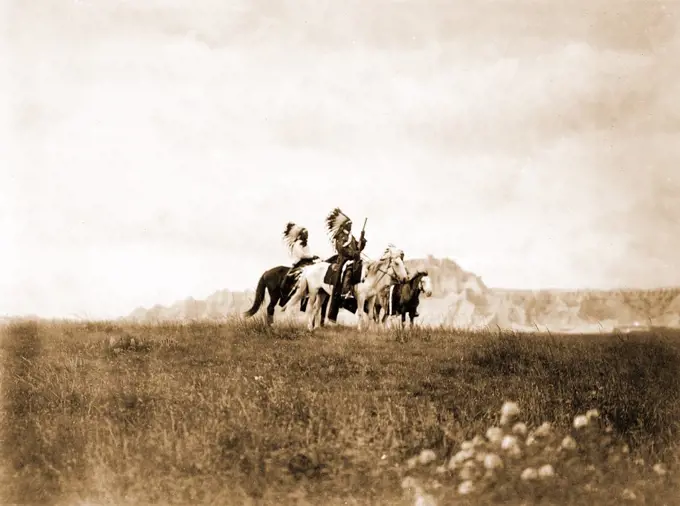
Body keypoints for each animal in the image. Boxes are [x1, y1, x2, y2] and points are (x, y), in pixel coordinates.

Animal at [282, 245, 410, 332]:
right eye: (397, 263)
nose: (405, 278)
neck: (369, 276)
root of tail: (309, 268)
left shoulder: (372, 298)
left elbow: (370, 315)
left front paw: (370, 330)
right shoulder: (361, 297)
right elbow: (360, 313)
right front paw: (360, 329)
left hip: (322, 293)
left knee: (315, 308)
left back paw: (316, 328)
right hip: (313, 292)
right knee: (309, 308)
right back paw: (309, 328)